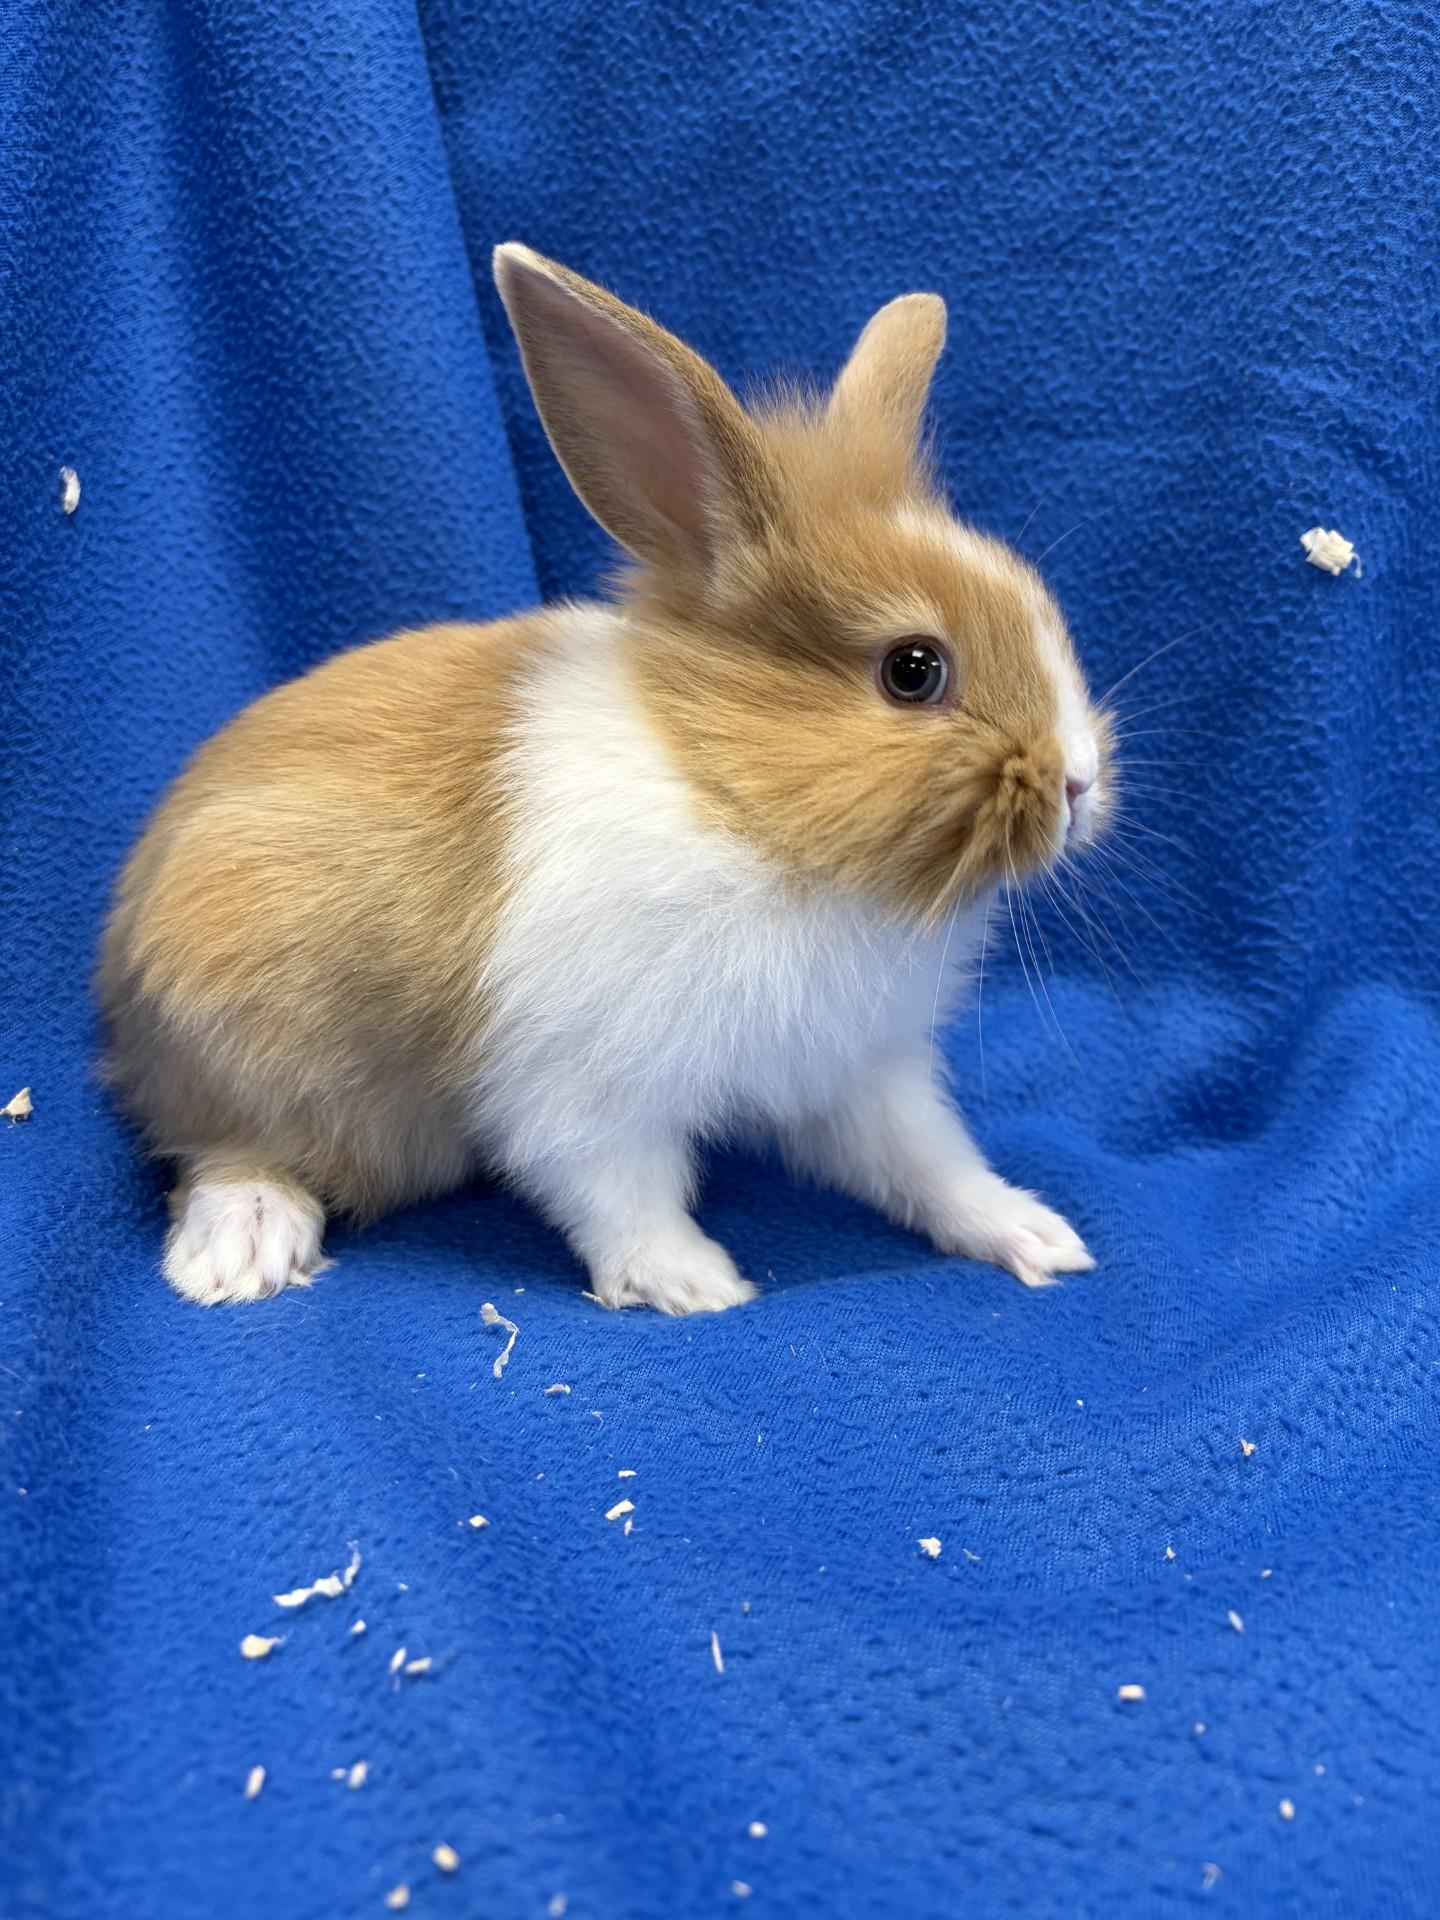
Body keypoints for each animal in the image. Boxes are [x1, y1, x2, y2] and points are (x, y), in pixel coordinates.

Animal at [98, 242, 1112, 1314]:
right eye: (913, 670)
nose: (1081, 782)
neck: (735, 806)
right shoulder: (582, 1089)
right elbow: (619, 1193)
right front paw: (696, 1283)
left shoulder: (861, 1070)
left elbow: (926, 1162)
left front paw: (1035, 1235)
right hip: (236, 1033)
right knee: (218, 1148)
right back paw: (243, 1250)